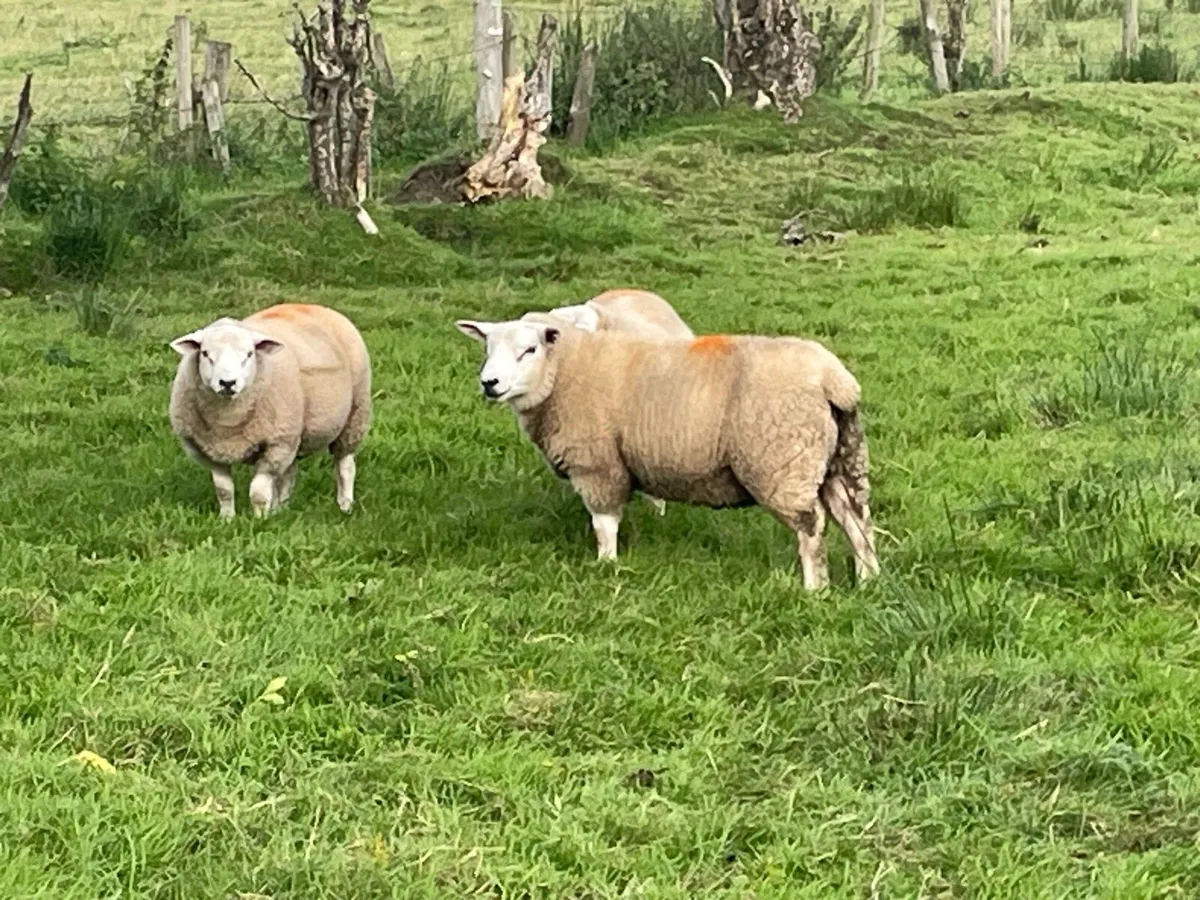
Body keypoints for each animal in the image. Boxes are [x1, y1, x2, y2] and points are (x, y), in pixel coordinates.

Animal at [168, 303, 372, 519]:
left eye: (249, 354)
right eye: (205, 354)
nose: (227, 383)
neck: (228, 420)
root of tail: (314, 306)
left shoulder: (275, 444)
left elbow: (258, 492)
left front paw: (259, 519)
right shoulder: (209, 452)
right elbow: (224, 490)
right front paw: (227, 518)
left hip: (354, 416)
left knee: (345, 466)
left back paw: (345, 505)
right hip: (292, 436)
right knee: (288, 474)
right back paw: (280, 509)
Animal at [454, 318, 879, 589]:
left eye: (529, 349)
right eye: (487, 348)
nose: (489, 383)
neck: (563, 371)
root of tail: (834, 380)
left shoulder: (598, 465)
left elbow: (604, 524)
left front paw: (606, 567)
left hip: (783, 462)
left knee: (812, 526)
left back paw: (814, 589)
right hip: (840, 458)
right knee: (856, 519)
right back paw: (868, 581)